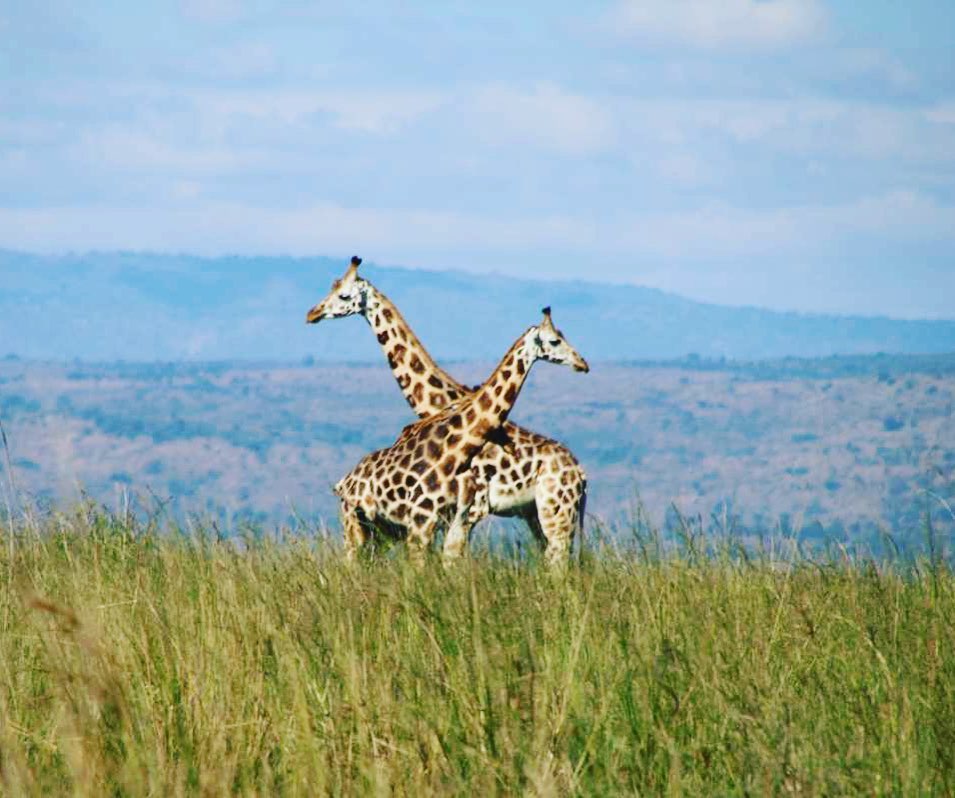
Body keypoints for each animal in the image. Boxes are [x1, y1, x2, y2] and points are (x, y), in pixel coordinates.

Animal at [306, 256, 589, 564]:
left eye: (344, 295)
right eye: (333, 287)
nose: (313, 313)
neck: (441, 403)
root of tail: (581, 473)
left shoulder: (471, 507)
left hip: (554, 508)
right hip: (538, 513)